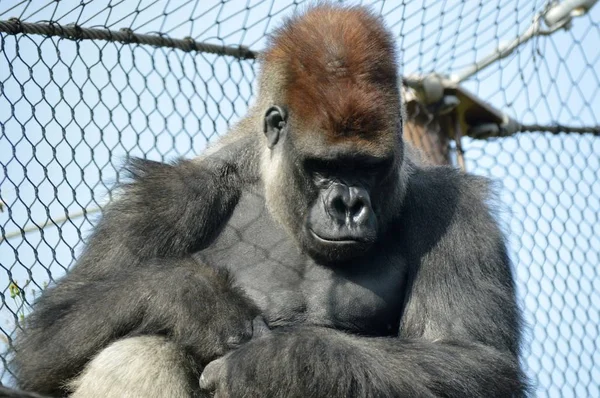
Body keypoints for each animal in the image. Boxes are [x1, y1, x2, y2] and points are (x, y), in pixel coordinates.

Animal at [9, 3, 528, 398]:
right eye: (323, 167)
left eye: (368, 167)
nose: (348, 206)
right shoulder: (167, 197)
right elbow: (47, 339)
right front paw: (194, 299)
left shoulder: (454, 209)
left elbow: (475, 361)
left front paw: (281, 361)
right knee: (138, 349)